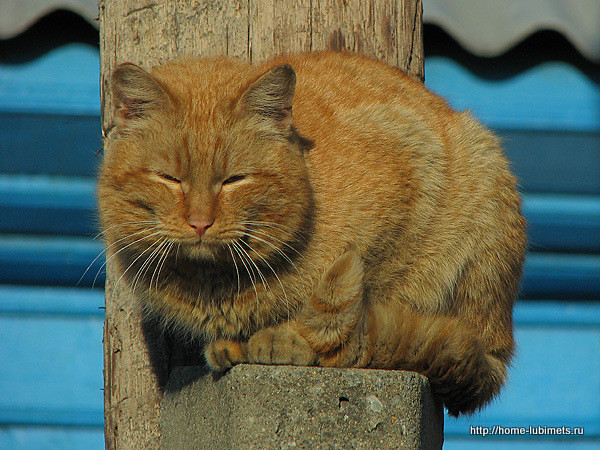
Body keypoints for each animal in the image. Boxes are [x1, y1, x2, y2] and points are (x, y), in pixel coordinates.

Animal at [97, 51, 524, 414]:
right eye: (169, 179)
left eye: (235, 180)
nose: (200, 222)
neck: (215, 285)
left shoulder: (409, 177)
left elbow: (350, 323)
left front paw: (286, 339)